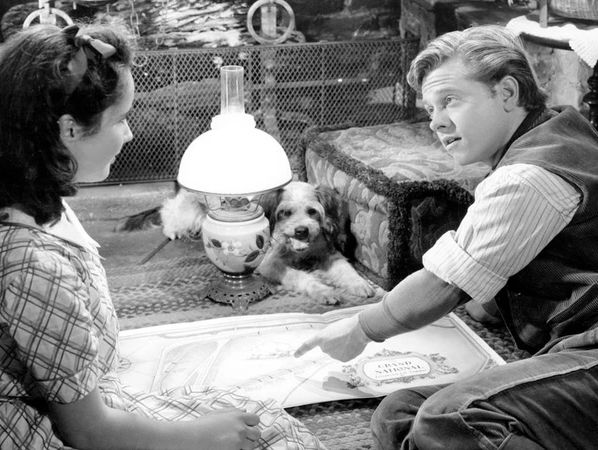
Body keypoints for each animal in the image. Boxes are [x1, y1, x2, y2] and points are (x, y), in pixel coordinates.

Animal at [116, 181, 375, 304]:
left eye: (312, 211)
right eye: (285, 213)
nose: (301, 231)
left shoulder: (327, 254)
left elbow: (346, 269)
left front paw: (360, 284)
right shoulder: (270, 263)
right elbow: (301, 277)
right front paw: (323, 291)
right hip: (187, 211)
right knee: (169, 213)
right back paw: (175, 231)